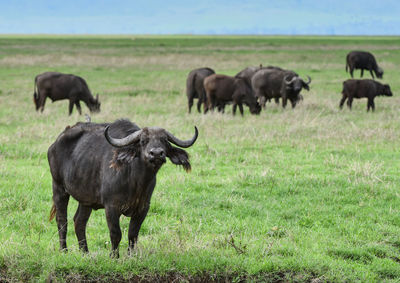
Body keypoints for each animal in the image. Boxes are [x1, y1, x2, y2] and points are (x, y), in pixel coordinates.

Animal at [47, 119, 198, 258]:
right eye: (143, 141)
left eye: (165, 141)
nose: (156, 153)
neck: (135, 180)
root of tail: (56, 142)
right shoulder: (111, 207)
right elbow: (116, 233)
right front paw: (114, 256)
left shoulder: (143, 207)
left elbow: (133, 234)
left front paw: (131, 256)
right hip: (58, 187)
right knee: (62, 220)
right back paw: (64, 250)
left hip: (86, 199)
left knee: (79, 221)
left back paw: (85, 253)